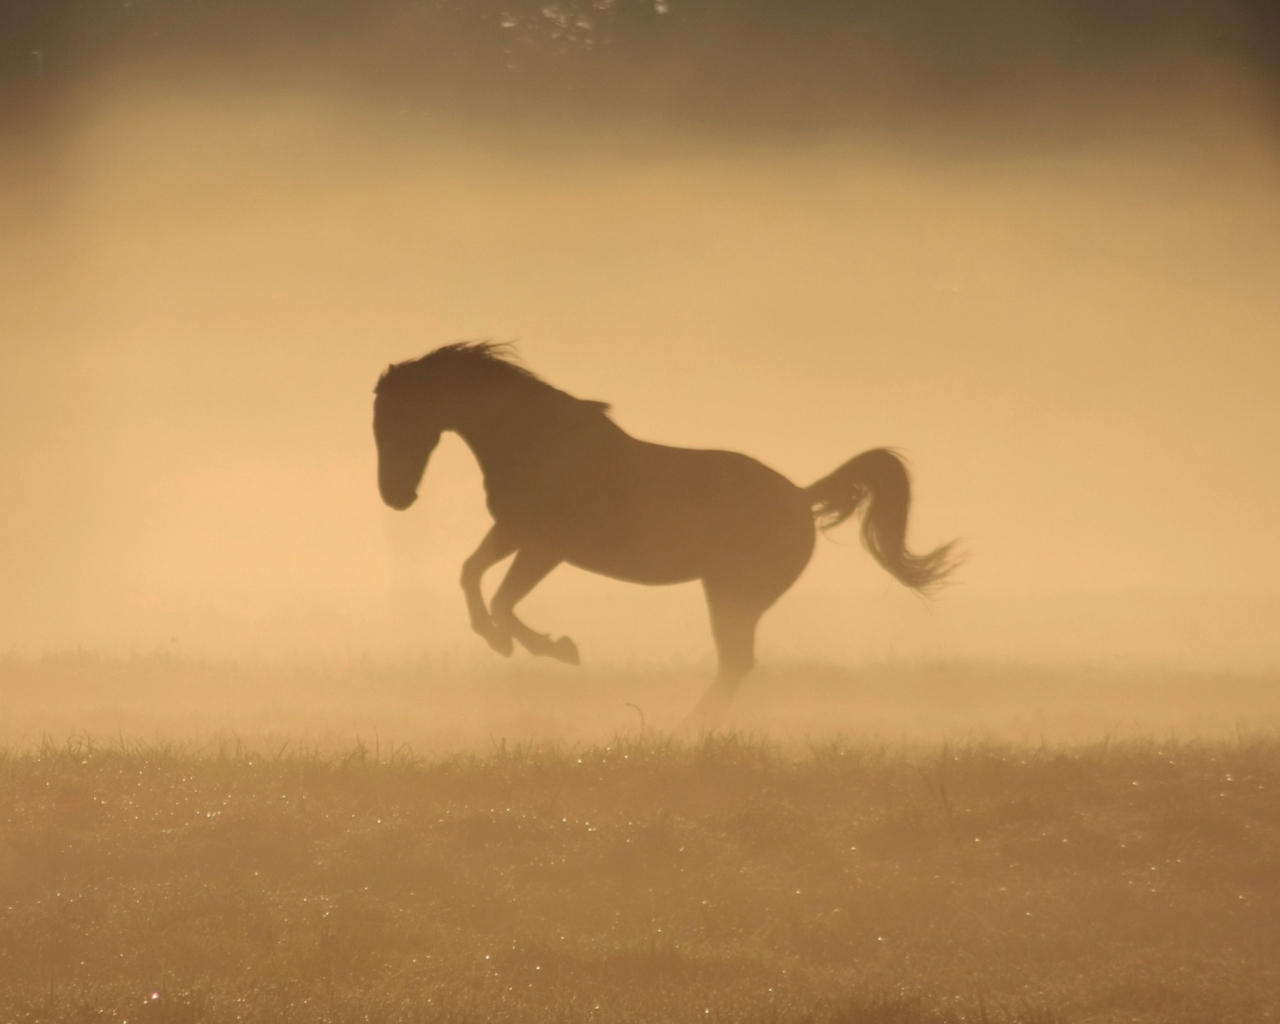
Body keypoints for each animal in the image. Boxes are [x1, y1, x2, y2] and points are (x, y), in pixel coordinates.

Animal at [373, 343, 957, 721]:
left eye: (400, 418)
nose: (394, 497)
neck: (537, 442)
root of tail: (799, 496)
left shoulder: (544, 546)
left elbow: (501, 599)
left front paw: (556, 648)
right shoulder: (513, 532)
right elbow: (471, 575)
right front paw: (500, 642)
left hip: (732, 595)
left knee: (736, 662)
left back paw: (687, 730)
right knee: (735, 663)